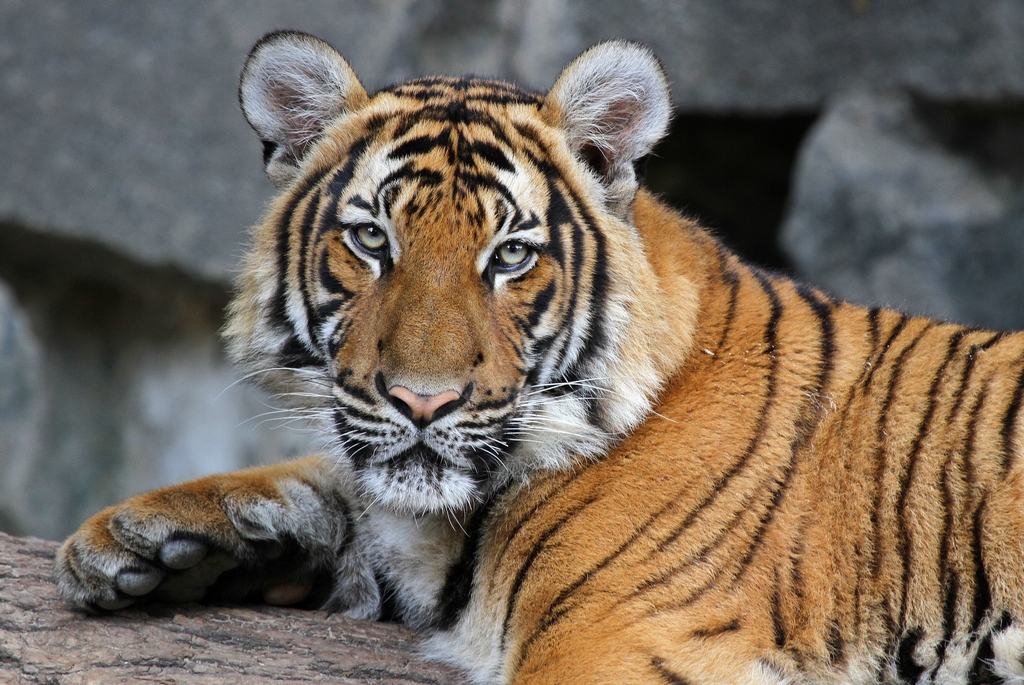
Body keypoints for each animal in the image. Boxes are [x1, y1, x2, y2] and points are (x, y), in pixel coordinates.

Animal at [51, 31, 1024, 683]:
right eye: (371, 240)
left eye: (511, 255)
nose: (423, 401)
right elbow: (331, 484)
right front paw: (140, 539)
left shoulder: (614, 644)